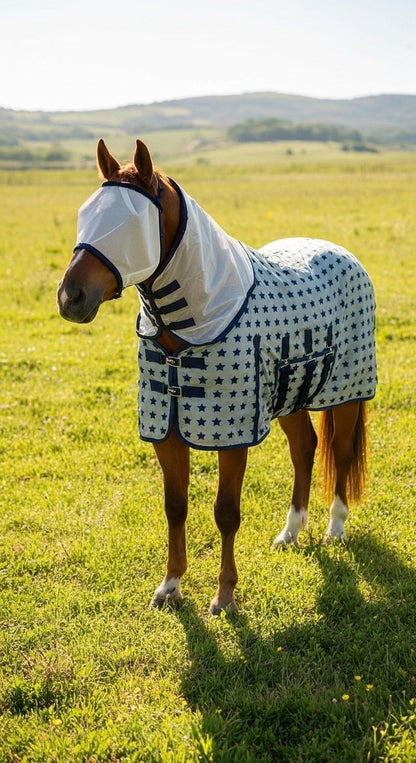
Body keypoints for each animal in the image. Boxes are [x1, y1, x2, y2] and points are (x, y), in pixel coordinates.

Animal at [57, 139, 377, 614]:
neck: (195, 318)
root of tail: (342, 253)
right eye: (86, 214)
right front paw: (170, 585)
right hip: (290, 394)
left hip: (347, 393)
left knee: (338, 451)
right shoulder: (168, 431)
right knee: (305, 448)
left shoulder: (233, 436)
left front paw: (224, 595)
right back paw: (291, 531)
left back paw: (335, 528)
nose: (69, 297)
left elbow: (226, 512)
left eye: (130, 224)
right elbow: (175, 506)